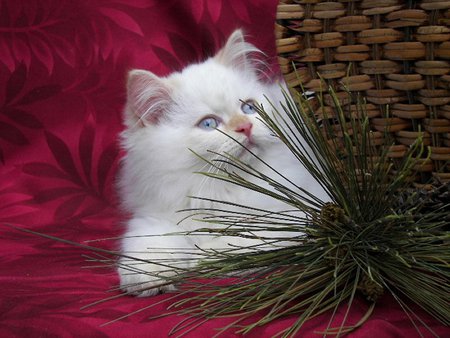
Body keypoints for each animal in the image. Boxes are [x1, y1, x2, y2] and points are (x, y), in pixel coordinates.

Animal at [117, 31, 326, 296]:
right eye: (208, 124)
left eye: (249, 107)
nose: (245, 126)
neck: (220, 187)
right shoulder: (156, 214)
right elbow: (150, 244)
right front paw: (149, 277)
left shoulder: (293, 215)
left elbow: (238, 241)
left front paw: (202, 257)